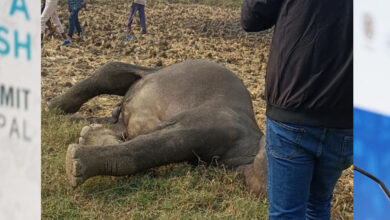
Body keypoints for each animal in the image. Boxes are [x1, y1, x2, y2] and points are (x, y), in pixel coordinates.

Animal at [48, 59, 268, 195]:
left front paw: (91, 139)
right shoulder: (210, 122)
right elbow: (145, 148)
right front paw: (77, 161)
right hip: (150, 73)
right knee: (111, 71)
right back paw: (53, 105)